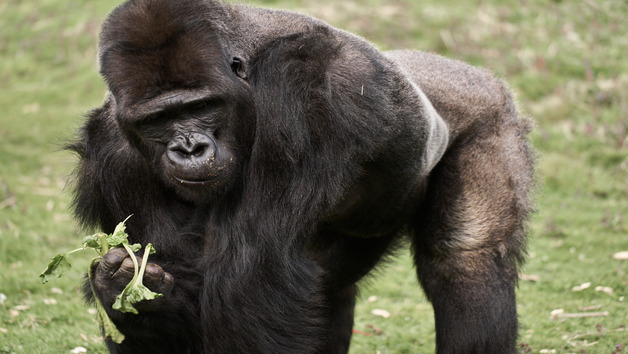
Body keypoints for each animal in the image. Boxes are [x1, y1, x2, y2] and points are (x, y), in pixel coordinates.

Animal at [71, 0, 536, 352]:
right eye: (158, 120)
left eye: (201, 106)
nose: (188, 149)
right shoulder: (112, 152)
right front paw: (122, 286)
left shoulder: (303, 89)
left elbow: (253, 279)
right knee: (330, 288)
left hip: (491, 116)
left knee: (464, 260)